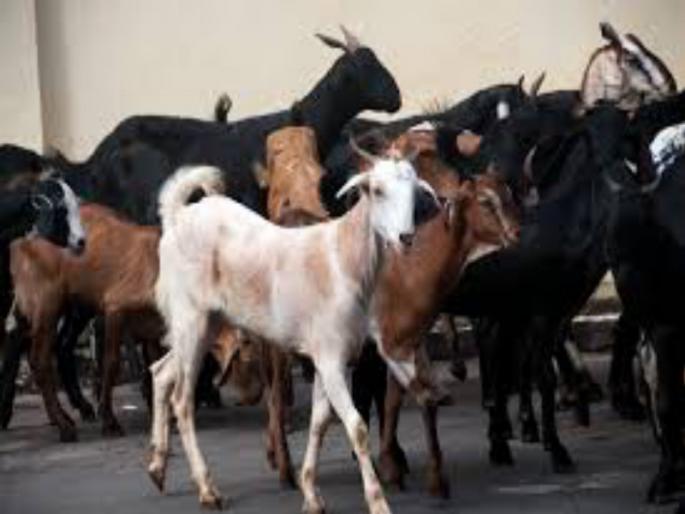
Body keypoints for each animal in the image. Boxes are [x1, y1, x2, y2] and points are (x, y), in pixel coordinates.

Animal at [147, 159, 432, 513]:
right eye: (376, 191)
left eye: (414, 193)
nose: (406, 237)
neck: (343, 259)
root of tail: (177, 216)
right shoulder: (330, 357)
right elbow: (356, 427)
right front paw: (377, 502)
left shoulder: (335, 360)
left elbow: (319, 424)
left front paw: (310, 493)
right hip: (191, 317)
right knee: (182, 400)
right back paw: (207, 489)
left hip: (204, 322)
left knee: (160, 372)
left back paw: (157, 467)